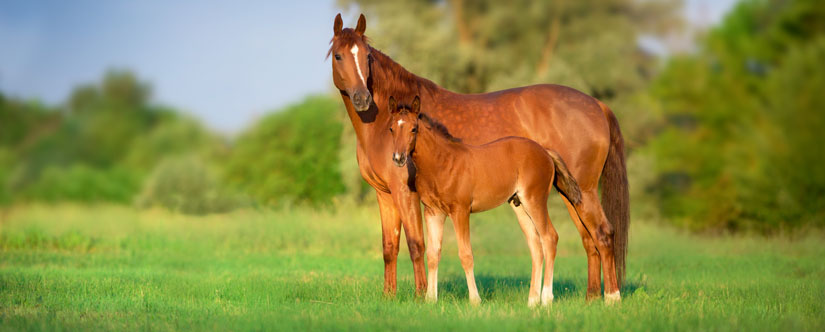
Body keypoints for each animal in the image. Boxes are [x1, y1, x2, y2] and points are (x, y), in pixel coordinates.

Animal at [390, 96, 584, 306]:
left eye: (413, 129)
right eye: (391, 128)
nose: (398, 158)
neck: (442, 163)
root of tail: (546, 152)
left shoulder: (460, 211)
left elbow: (466, 255)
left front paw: (475, 300)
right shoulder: (433, 212)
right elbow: (433, 254)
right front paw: (430, 299)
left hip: (535, 200)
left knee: (549, 238)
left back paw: (547, 299)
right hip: (520, 206)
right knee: (535, 246)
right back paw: (532, 301)